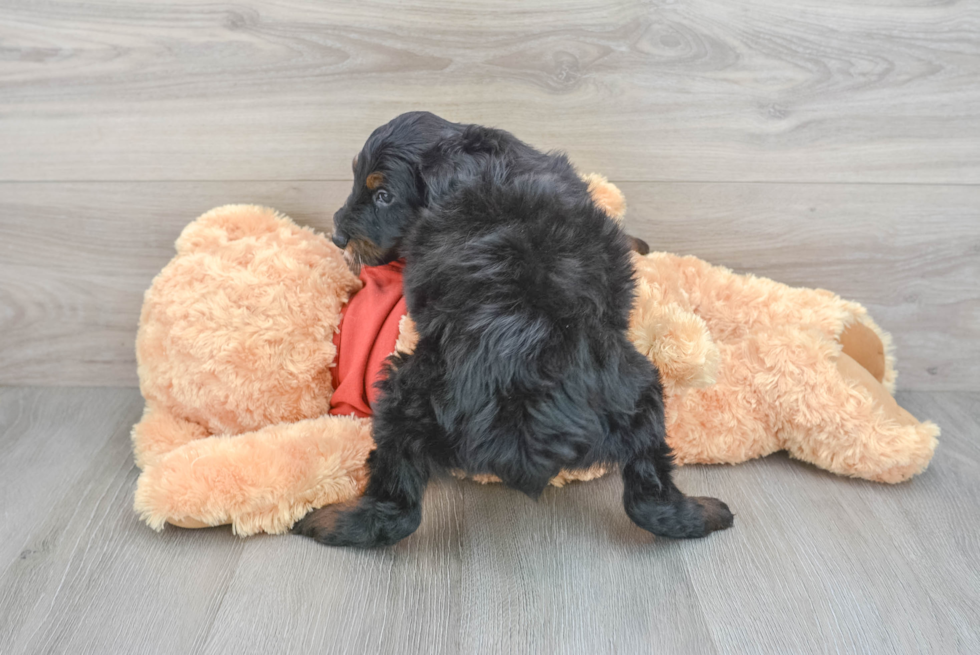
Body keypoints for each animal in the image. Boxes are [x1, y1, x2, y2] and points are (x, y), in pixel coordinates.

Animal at [294, 114, 732, 548]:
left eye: (383, 196)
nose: (338, 237)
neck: (485, 166)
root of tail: (530, 422)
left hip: (406, 394)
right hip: (641, 392)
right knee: (650, 491)